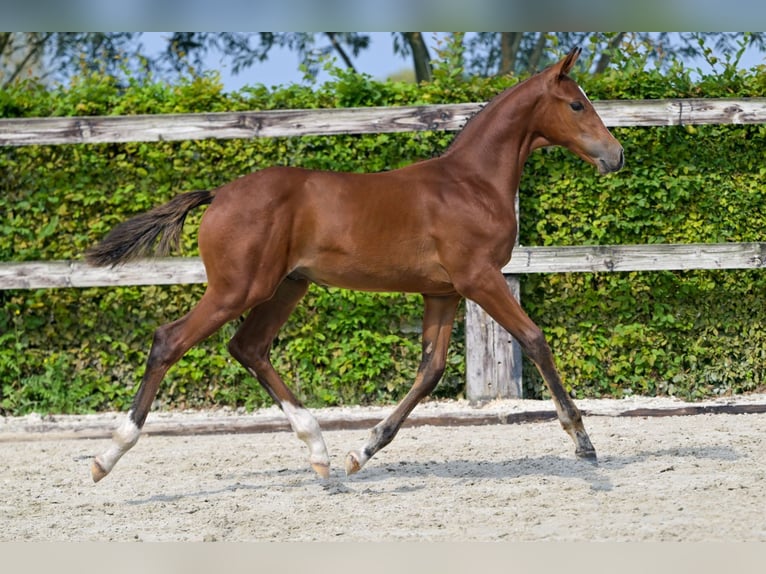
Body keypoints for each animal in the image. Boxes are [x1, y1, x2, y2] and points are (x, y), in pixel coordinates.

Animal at [87, 47, 624, 484]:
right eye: (577, 104)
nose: (616, 155)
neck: (470, 183)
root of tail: (219, 194)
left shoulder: (443, 292)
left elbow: (430, 371)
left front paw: (362, 451)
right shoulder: (479, 280)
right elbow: (535, 340)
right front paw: (583, 441)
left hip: (287, 286)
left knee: (249, 347)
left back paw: (319, 451)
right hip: (237, 288)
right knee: (170, 341)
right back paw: (107, 456)